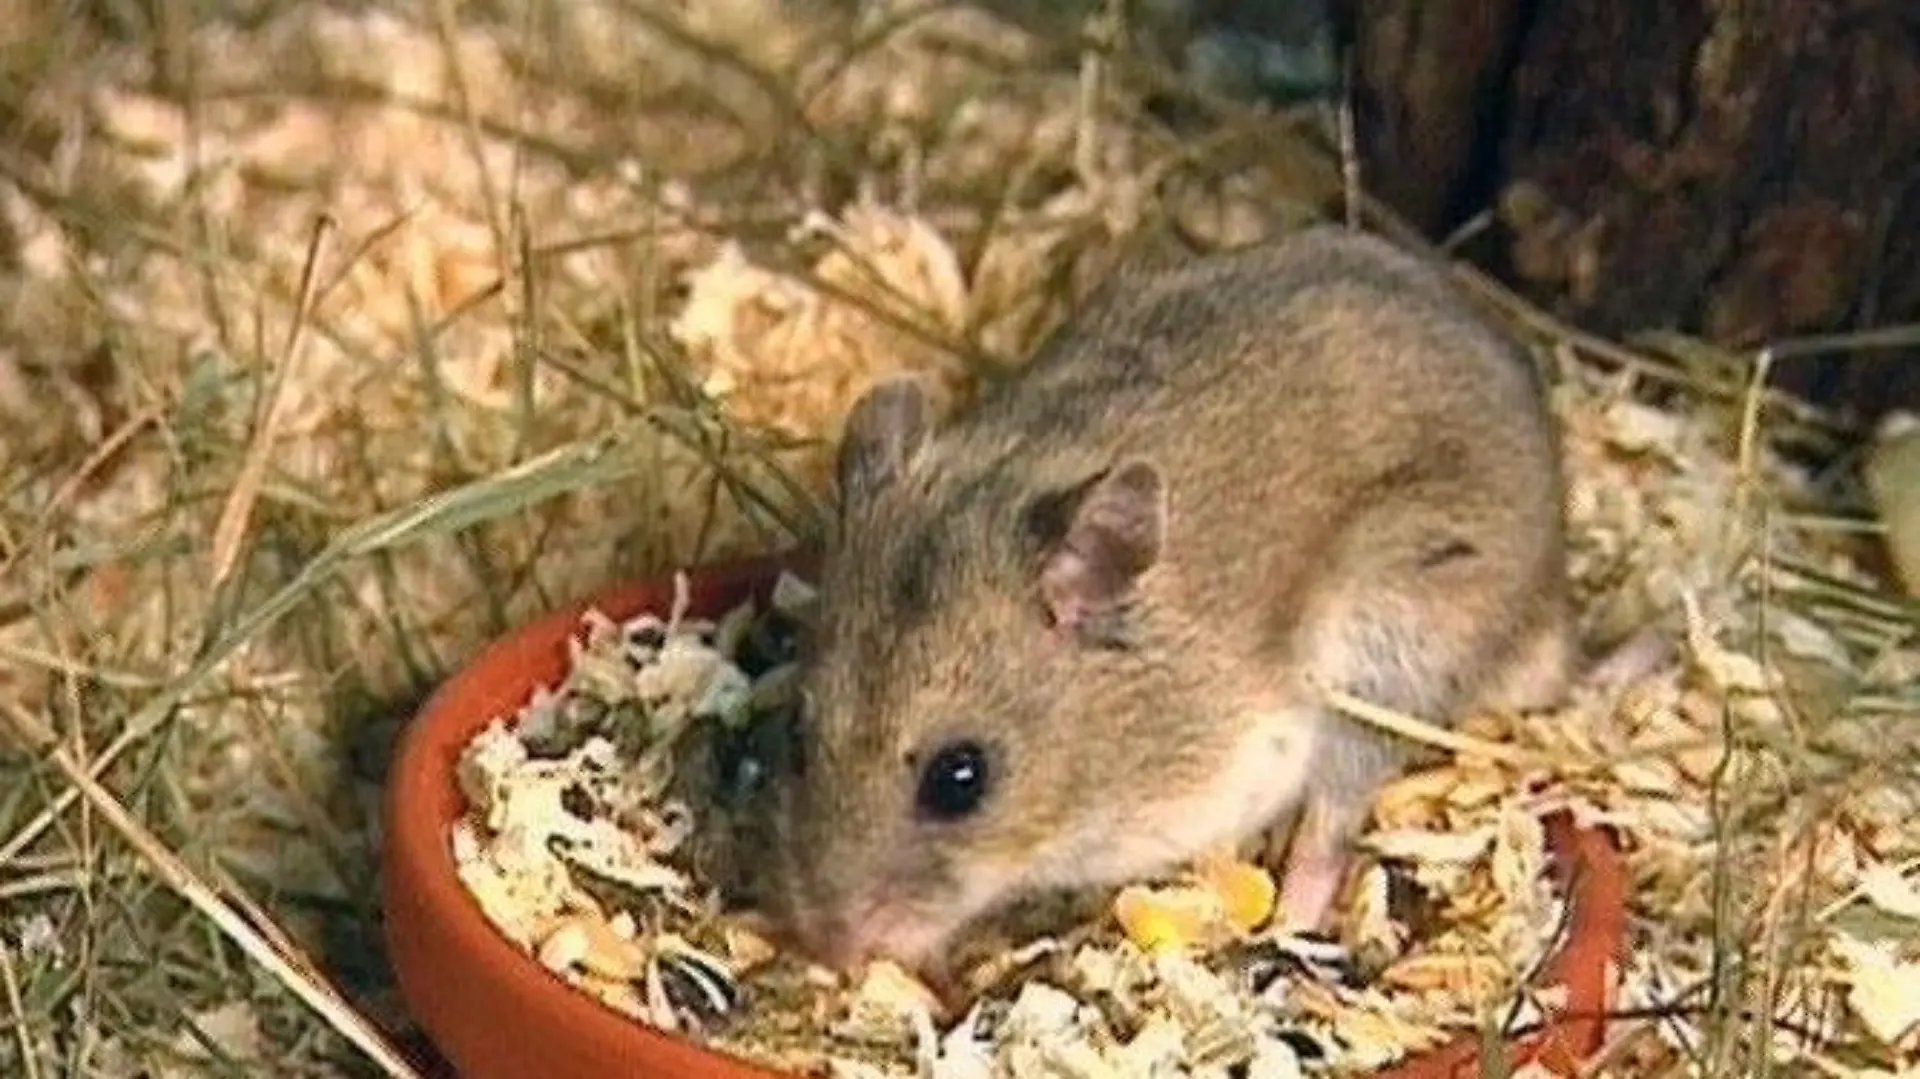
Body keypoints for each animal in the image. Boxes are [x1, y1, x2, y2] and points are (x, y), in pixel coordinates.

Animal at [763, 224, 1578, 973]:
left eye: (959, 779)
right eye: (796, 739)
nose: (831, 948)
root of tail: (1551, 612)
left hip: (1387, 645)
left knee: (1335, 817)